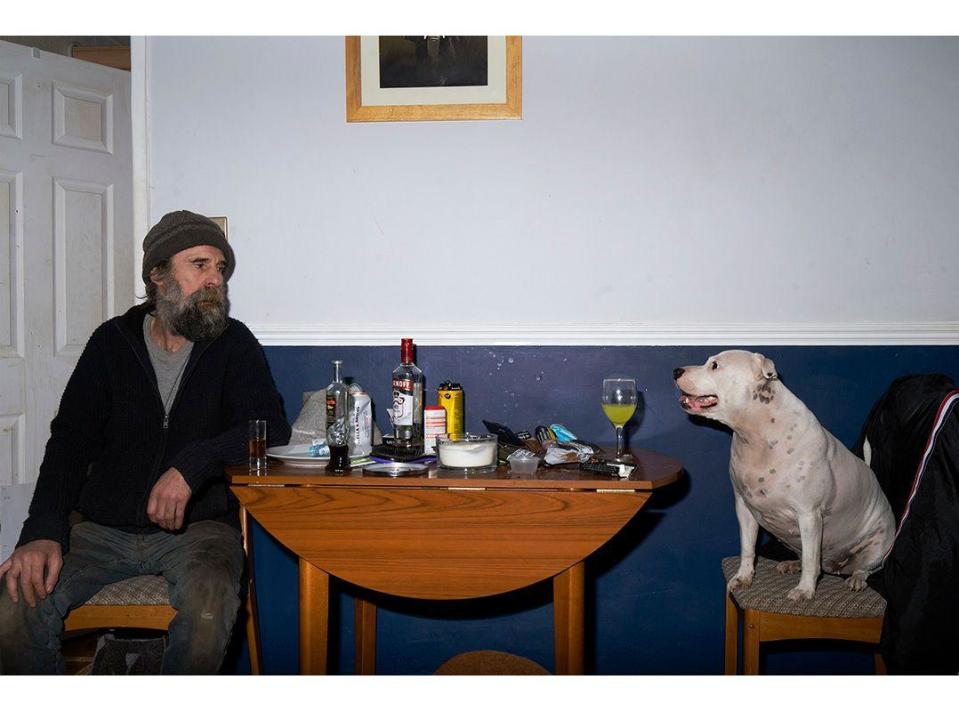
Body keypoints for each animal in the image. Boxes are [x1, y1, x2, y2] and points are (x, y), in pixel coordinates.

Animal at [676, 350, 892, 600]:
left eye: (715, 366)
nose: (676, 371)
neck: (757, 435)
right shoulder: (744, 508)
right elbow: (748, 548)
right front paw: (744, 577)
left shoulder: (809, 515)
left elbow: (810, 559)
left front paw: (805, 590)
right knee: (810, 559)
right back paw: (792, 564)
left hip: (877, 546)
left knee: (863, 568)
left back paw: (856, 579)